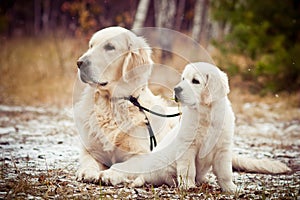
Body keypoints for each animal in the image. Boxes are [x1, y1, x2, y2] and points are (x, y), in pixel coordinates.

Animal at [74, 26, 179, 183]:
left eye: (110, 47)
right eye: (91, 46)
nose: (79, 62)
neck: (111, 103)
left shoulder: (143, 155)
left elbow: (122, 166)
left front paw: (109, 174)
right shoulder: (91, 150)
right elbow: (89, 161)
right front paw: (87, 172)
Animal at [99, 62, 292, 192]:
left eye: (195, 81)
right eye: (183, 79)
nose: (176, 89)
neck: (206, 114)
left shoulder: (223, 149)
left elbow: (225, 172)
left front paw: (230, 189)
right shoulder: (188, 147)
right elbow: (188, 169)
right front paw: (188, 186)